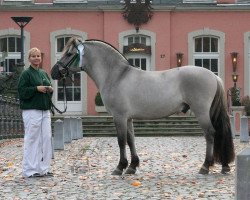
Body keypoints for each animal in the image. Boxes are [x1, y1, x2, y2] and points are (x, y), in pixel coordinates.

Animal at [51, 37, 235, 175]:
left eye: (70, 53)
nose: (54, 72)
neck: (116, 76)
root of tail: (213, 76)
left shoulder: (119, 116)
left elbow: (121, 141)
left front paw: (119, 167)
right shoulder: (128, 118)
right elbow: (131, 139)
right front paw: (132, 166)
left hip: (202, 112)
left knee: (210, 134)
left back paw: (205, 166)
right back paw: (224, 166)